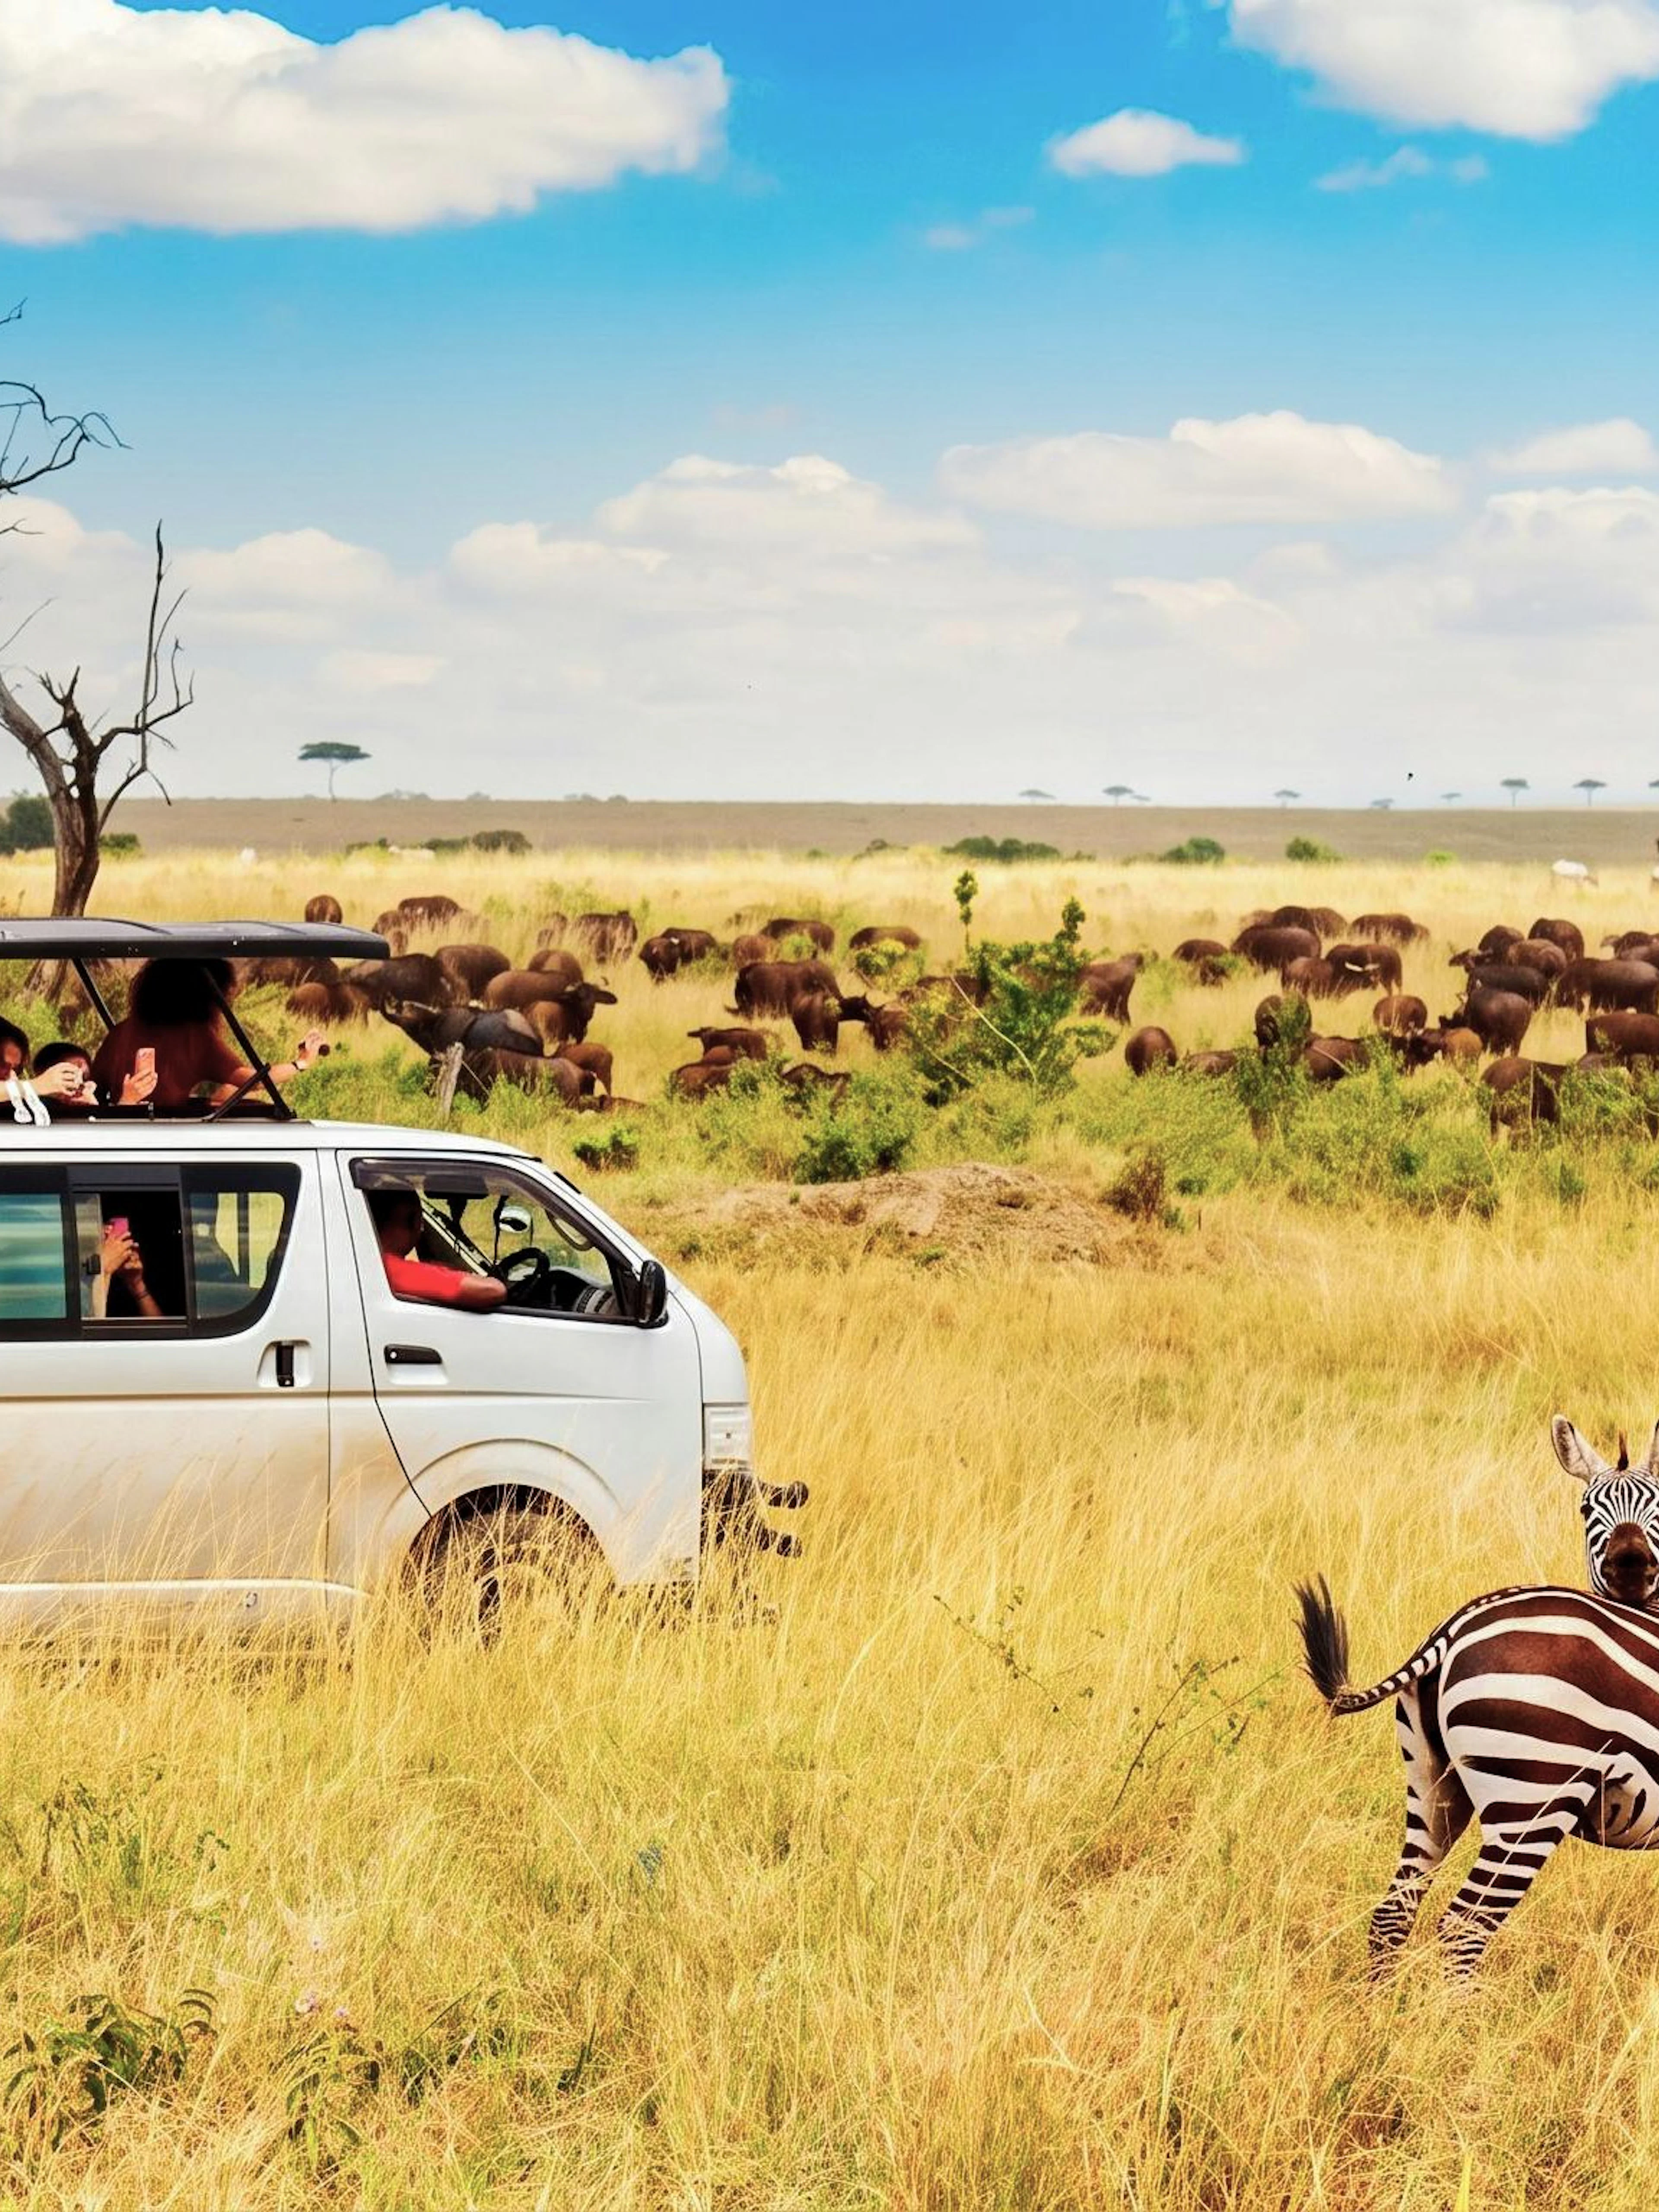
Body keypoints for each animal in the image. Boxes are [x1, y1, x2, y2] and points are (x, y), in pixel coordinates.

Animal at [1296, 1414, 1659, 1975]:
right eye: (1585, 1508)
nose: (1630, 1566)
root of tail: (1453, 1627)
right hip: (1533, 1797)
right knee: (1464, 1927)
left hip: (1433, 1786)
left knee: (1394, 1912)